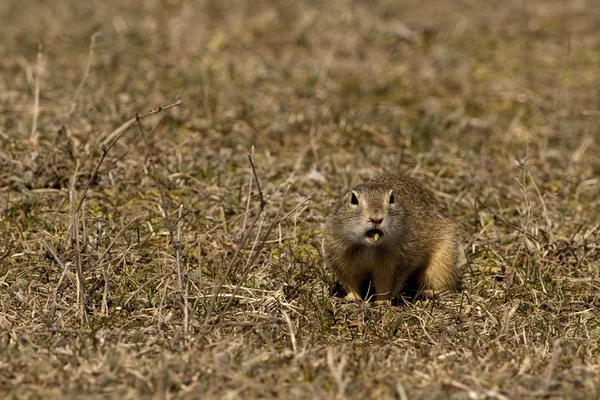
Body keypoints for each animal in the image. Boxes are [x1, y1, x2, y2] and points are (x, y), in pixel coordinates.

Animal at [326, 173, 462, 302]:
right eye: (353, 199)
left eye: (392, 198)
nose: (376, 218)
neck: (369, 247)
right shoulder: (341, 259)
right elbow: (351, 283)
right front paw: (352, 298)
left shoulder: (395, 263)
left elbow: (386, 284)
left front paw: (381, 302)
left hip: (443, 260)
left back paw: (429, 293)